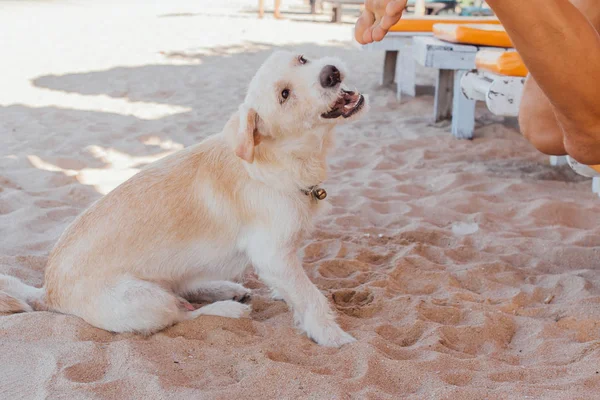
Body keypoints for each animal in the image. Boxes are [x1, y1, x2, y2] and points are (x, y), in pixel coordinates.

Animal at [0, 50, 368, 346]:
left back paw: (225, 288)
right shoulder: (274, 256)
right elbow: (311, 298)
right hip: (146, 301)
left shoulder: (282, 259)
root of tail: (48, 292)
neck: (281, 161)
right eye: (285, 95)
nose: (331, 72)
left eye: (302, 60)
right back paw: (227, 308)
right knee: (181, 315)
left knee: (184, 291)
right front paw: (332, 336)